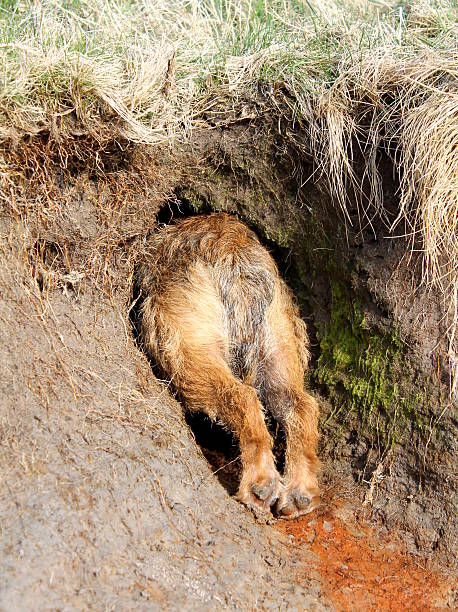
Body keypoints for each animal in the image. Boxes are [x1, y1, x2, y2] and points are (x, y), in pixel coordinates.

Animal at [138, 213, 320, 520]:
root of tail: (232, 247)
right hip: (277, 351)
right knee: (302, 407)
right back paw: (299, 492)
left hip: (189, 353)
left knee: (242, 396)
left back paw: (260, 484)